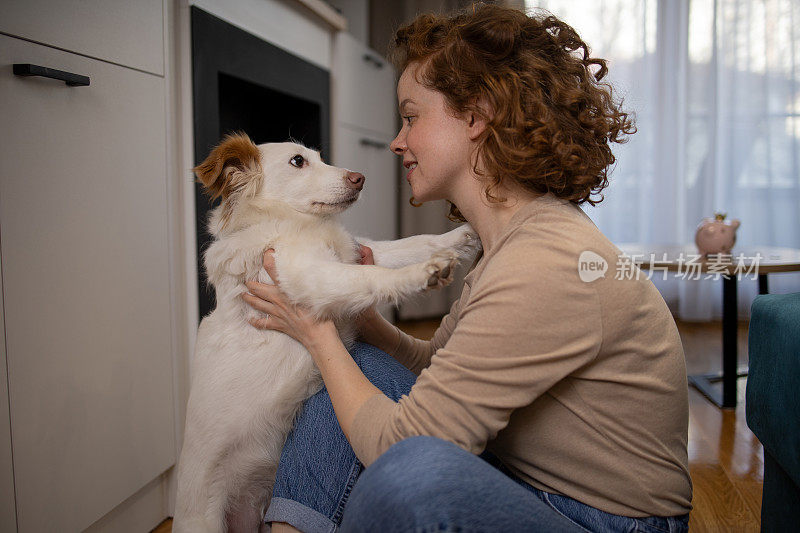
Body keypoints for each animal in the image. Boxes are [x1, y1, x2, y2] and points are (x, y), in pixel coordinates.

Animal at [172, 131, 478, 528]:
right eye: (298, 161)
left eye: (319, 157)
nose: (360, 178)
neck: (289, 222)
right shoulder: (309, 275)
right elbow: (374, 276)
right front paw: (421, 273)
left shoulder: (359, 251)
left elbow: (413, 244)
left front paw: (464, 233)